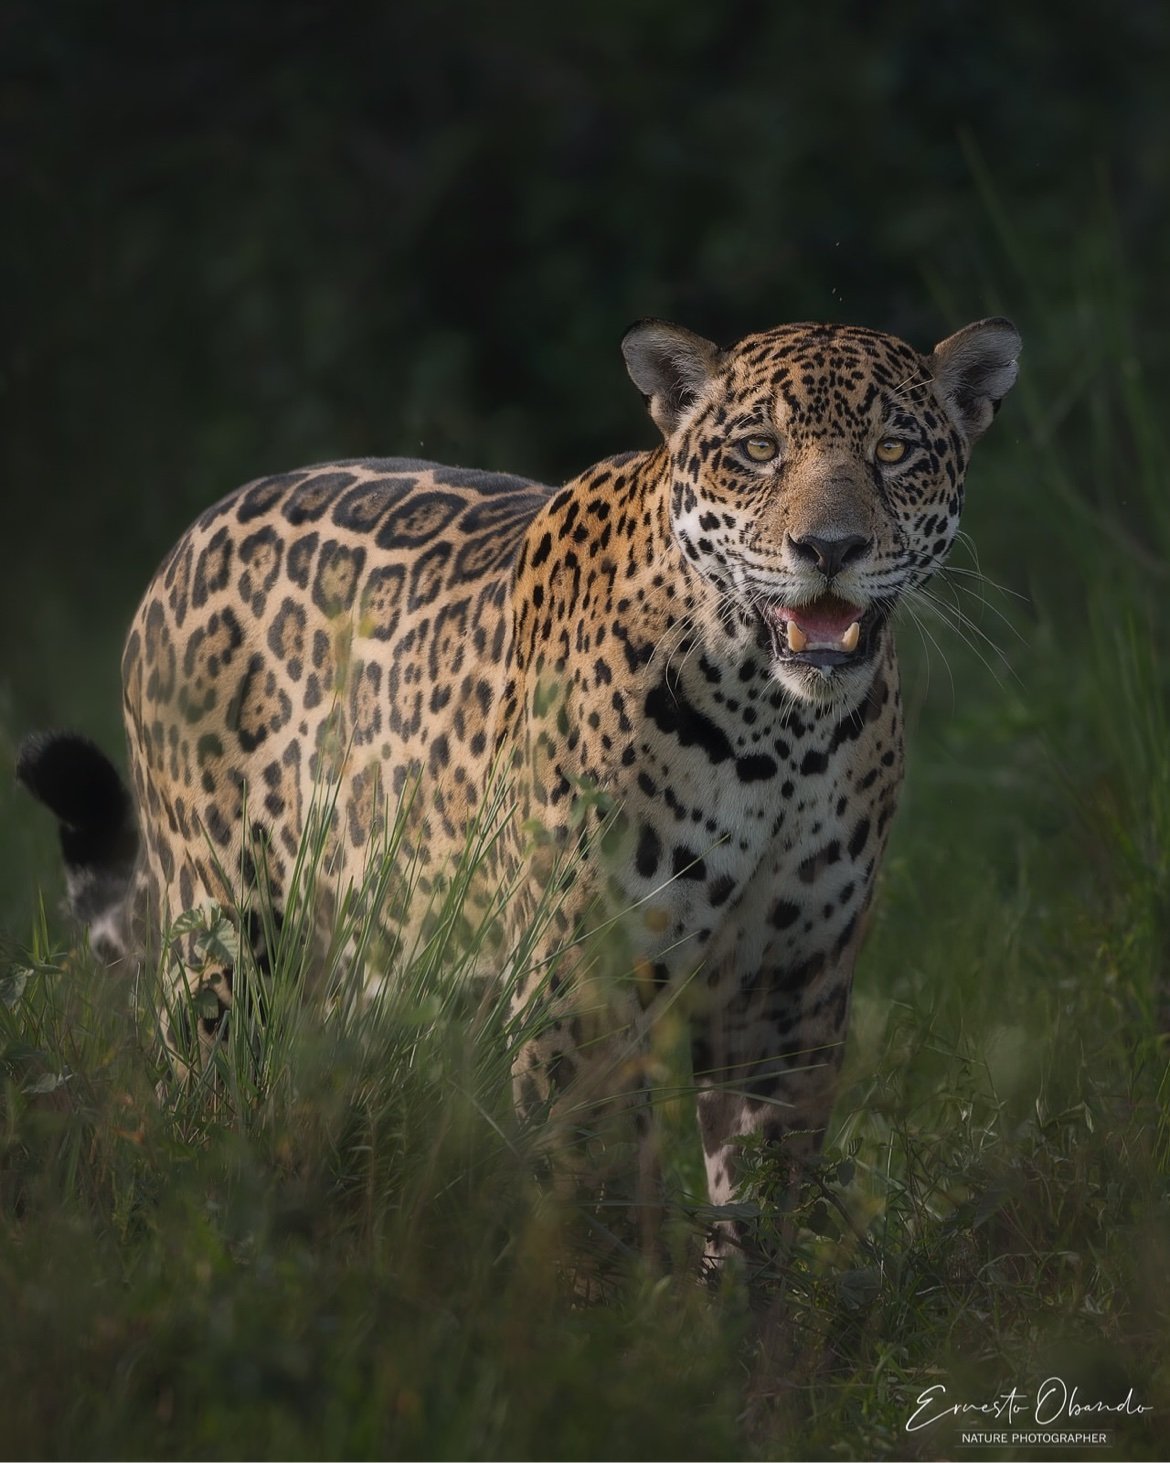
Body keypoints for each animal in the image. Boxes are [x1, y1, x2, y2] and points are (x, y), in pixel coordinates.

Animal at [18, 311, 1020, 1270]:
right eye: (760, 449)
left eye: (894, 449)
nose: (830, 547)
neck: (781, 732)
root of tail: (185, 545)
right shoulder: (582, 982)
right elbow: (600, 1189)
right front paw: (619, 1320)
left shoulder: (790, 984)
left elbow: (761, 1198)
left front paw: (746, 1319)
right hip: (225, 944)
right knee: (198, 1102)